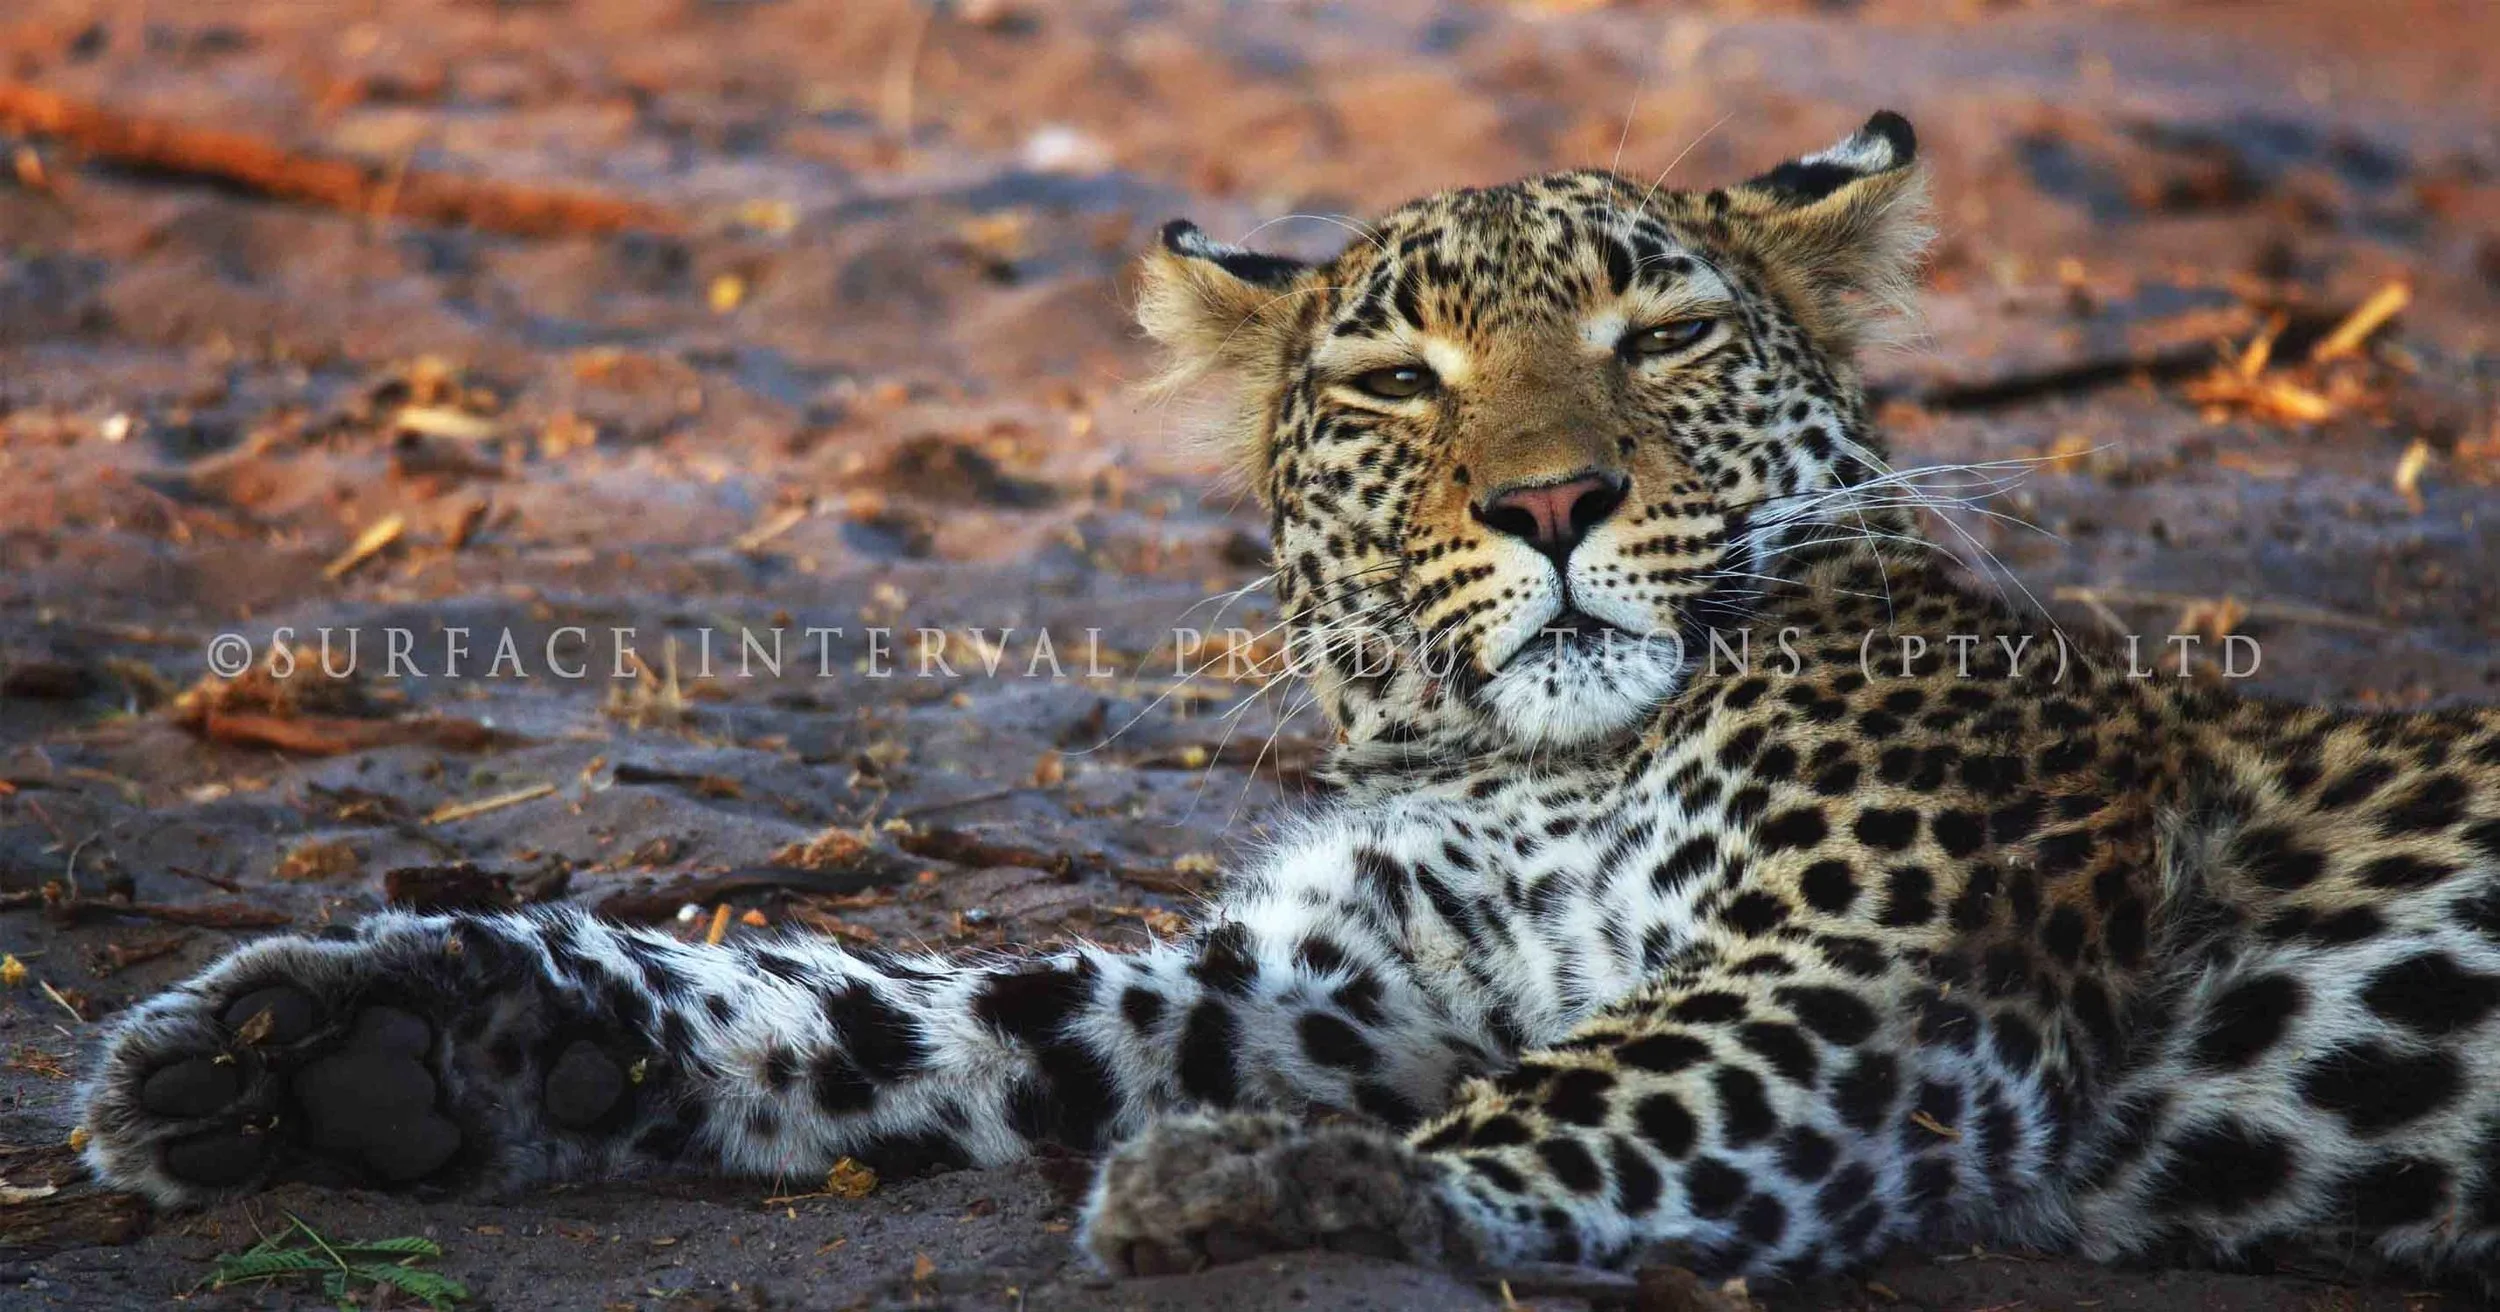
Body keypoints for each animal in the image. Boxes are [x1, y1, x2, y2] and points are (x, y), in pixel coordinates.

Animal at [77, 111, 2500, 1291]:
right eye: (1389, 379)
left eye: (1664, 336)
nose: (1550, 498)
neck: (1535, 761)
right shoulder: (1339, 973)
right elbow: (904, 1014)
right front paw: (387, 1044)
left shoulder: (1893, 956)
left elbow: (1596, 1093)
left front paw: (1260, 1189)